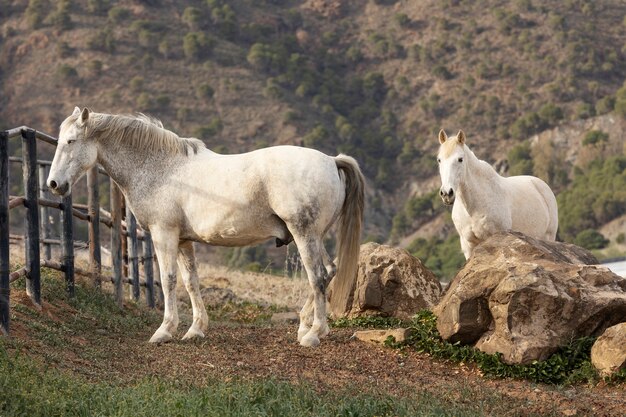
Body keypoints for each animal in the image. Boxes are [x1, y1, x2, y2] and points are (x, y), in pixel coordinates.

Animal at [47, 105, 366, 346]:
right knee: (329, 271)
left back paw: (314, 334)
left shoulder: (164, 235)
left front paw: (164, 330)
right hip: (315, 236)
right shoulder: (183, 241)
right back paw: (304, 326)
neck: (161, 167)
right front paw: (195, 329)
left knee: (318, 276)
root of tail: (332, 160)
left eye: (71, 141)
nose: (53, 184)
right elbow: (191, 282)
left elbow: (169, 280)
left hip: (304, 235)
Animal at [434, 130, 556, 258]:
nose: (446, 193)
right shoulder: (468, 246)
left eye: (460, 159)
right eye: (439, 160)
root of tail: (540, 183)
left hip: (549, 236)